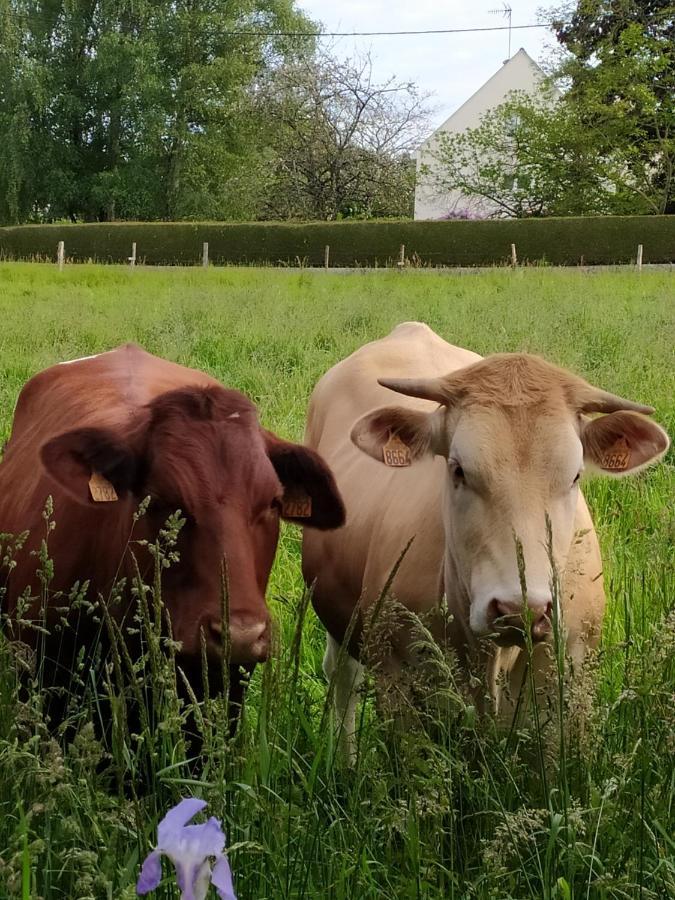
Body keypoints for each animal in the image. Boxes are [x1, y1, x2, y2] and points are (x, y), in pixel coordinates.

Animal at [302, 320, 672, 756]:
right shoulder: (399, 687)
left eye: (576, 475)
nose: (519, 609)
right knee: (343, 678)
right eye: (458, 469)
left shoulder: (567, 694)